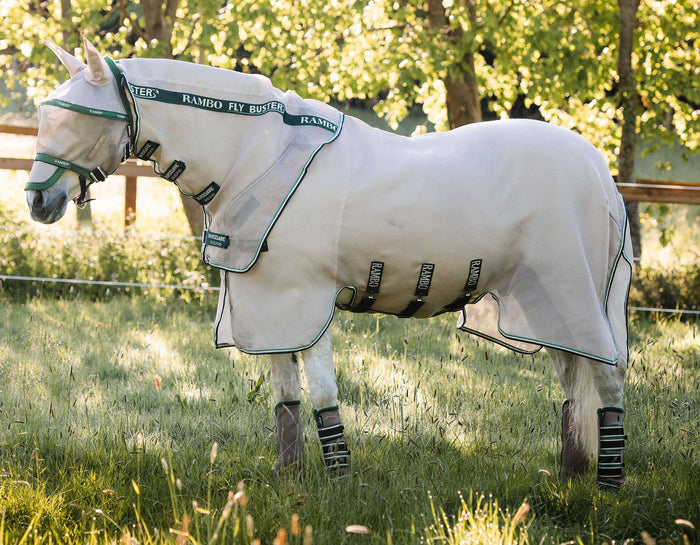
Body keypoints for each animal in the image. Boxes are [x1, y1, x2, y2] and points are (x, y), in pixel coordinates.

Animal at [25, 38, 633, 487]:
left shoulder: (305, 301)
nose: (37, 202)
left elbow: (321, 393)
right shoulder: (267, 306)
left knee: (607, 378)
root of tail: (598, 171)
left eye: (81, 118)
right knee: (573, 381)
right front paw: (290, 477)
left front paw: (339, 482)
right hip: (545, 305)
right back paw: (572, 472)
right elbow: (285, 397)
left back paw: (608, 484)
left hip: (576, 297)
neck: (260, 158)